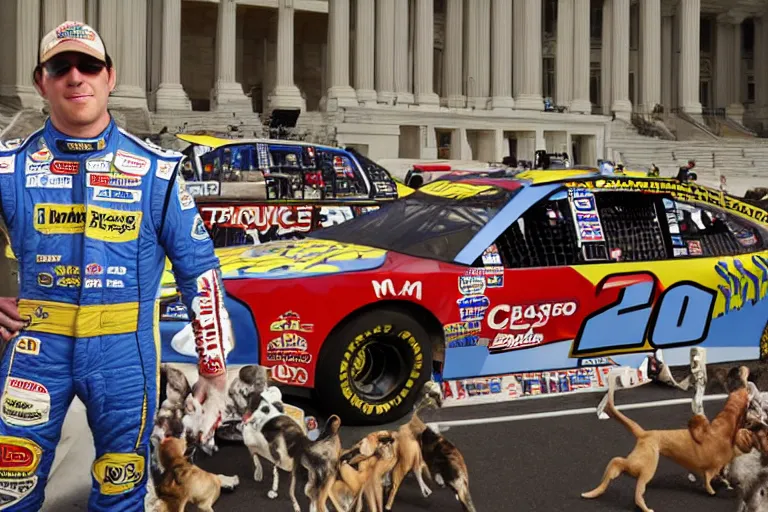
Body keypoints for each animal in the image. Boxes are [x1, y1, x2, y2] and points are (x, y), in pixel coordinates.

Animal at [584, 364, 752, 512]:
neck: (725, 425)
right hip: (647, 466)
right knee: (635, 486)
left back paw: (596, 490)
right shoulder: (713, 466)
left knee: (616, 462)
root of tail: (644, 434)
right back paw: (644, 507)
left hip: (639, 461)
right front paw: (719, 488)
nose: (742, 368)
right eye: (738, 375)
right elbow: (711, 479)